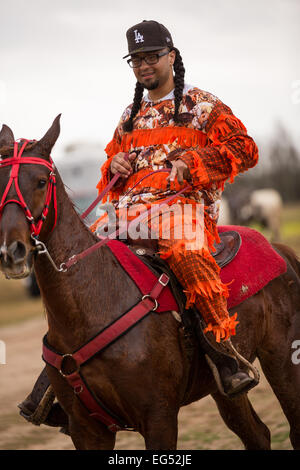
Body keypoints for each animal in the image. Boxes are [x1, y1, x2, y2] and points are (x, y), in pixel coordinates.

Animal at [0, 115, 300, 450]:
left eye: (41, 181)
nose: (13, 251)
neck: (91, 305)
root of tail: (279, 250)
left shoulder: (159, 418)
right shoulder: (85, 429)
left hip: (284, 359)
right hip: (223, 391)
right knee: (257, 433)